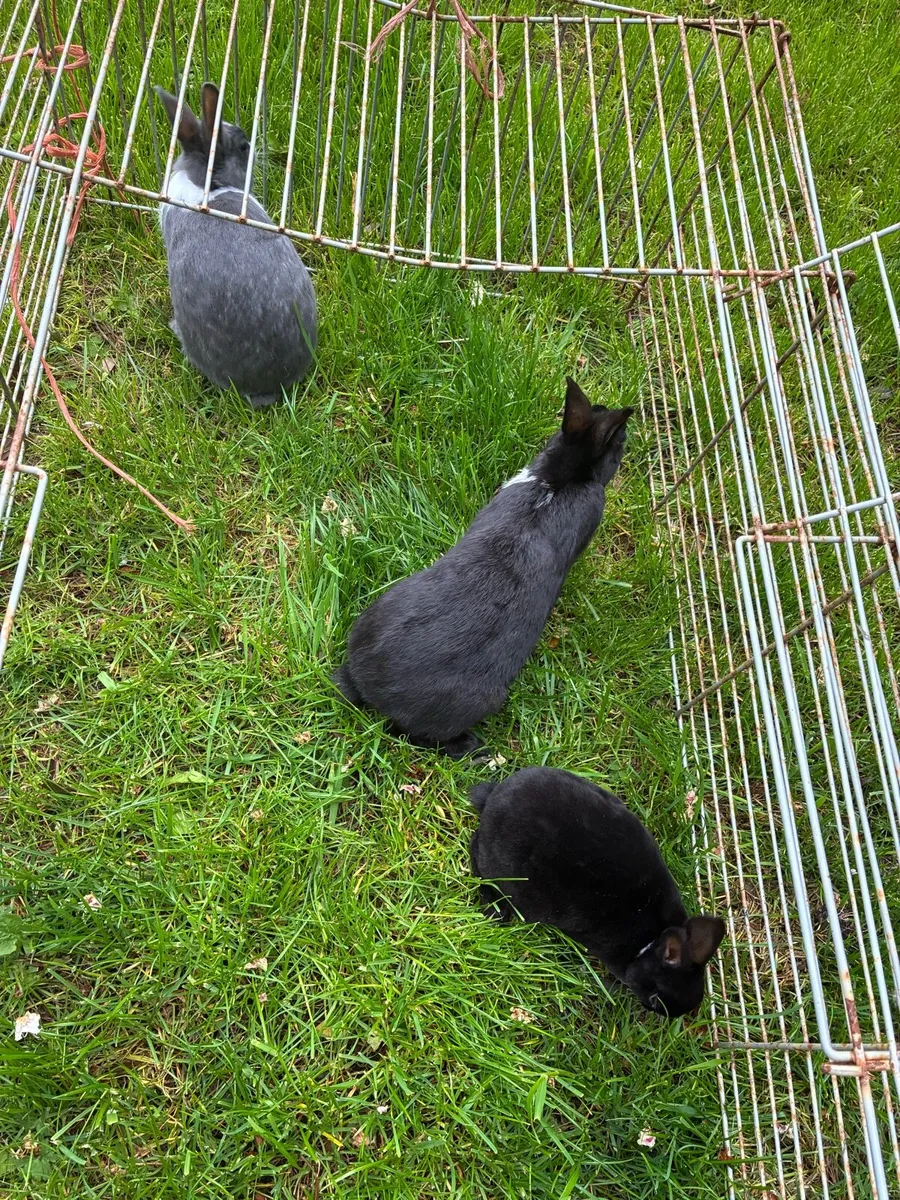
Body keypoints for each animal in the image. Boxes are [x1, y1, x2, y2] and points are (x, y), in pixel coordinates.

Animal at [333, 378, 633, 757]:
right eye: (618, 443)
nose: (627, 436)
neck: (557, 479)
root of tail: (368, 684)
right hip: (480, 700)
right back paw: (476, 749)